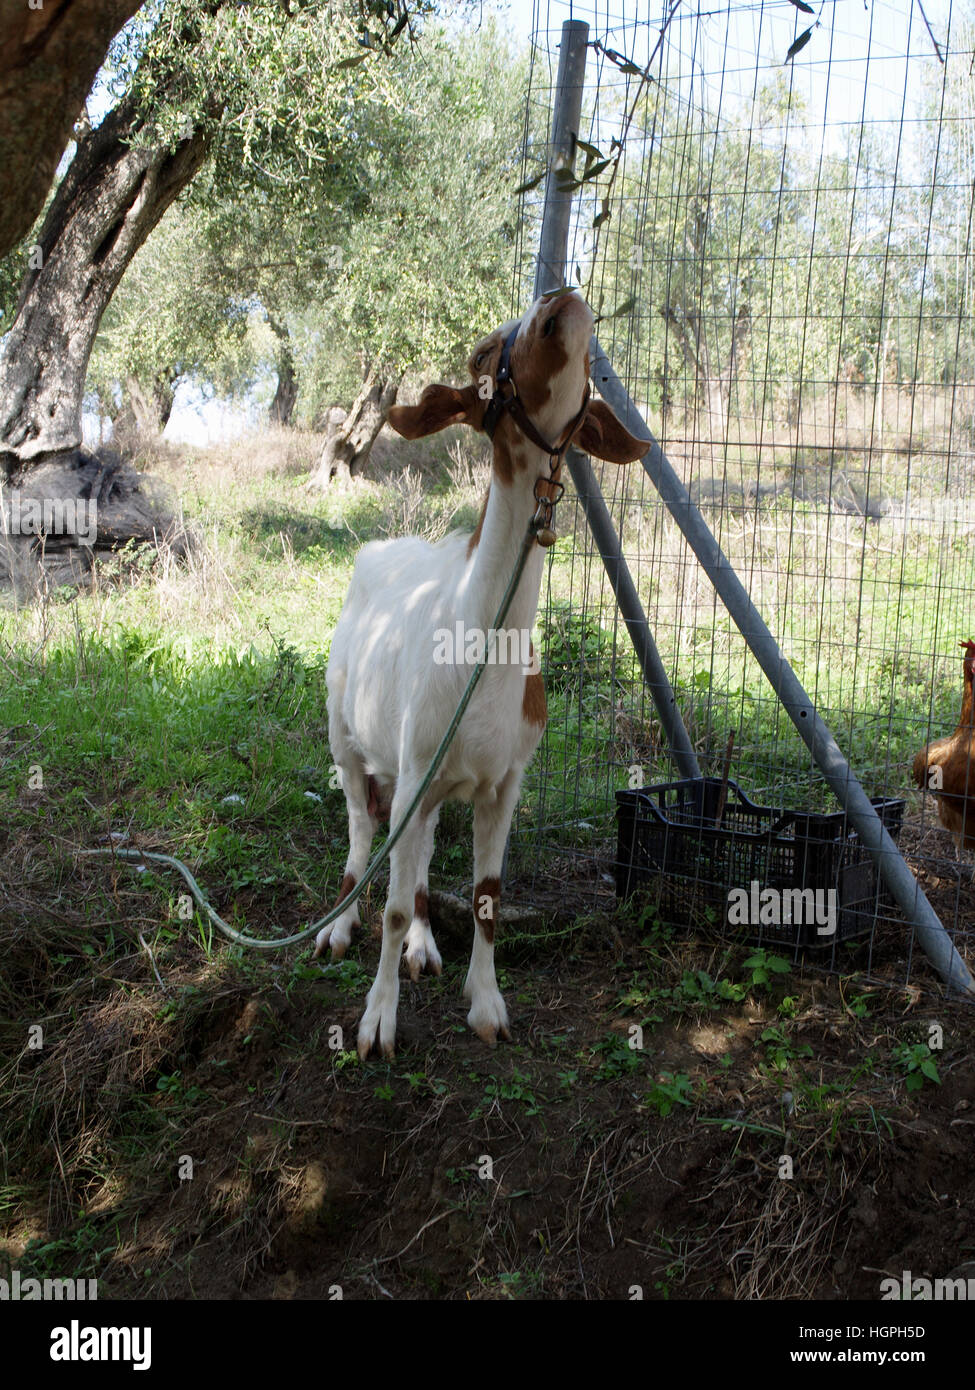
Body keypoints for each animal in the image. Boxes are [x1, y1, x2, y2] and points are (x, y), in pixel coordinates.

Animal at [314, 293, 645, 1050]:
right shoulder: (412, 766)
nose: (559, 300)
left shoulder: (504, 780)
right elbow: (390, 903)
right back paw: (338, 927)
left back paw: (423, 945)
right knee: (361, 831)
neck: (478, 641)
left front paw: (486, 1005)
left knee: (420, 853)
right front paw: (376, 1021)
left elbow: (487, 898)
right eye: (483, 352)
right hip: (347, 737)